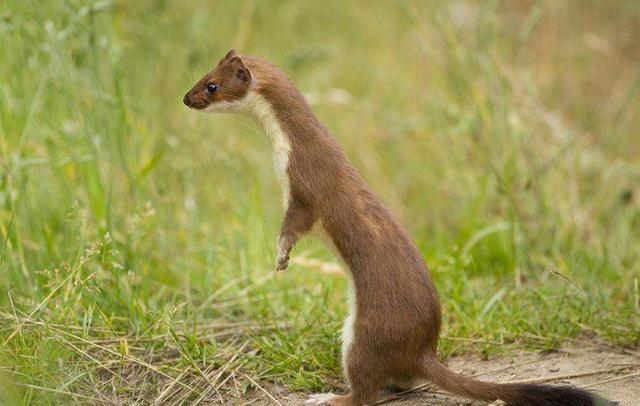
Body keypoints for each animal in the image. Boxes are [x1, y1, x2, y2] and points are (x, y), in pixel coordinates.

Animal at [182, 49, 608, 404]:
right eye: (201, 74)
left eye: (211, 85)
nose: (186, 98)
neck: (286, 148)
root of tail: (423, 350)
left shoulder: (305, 188)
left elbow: (293, 226)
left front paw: (282, 257)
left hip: (362, 335)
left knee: (365, 390)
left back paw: (328, 397)